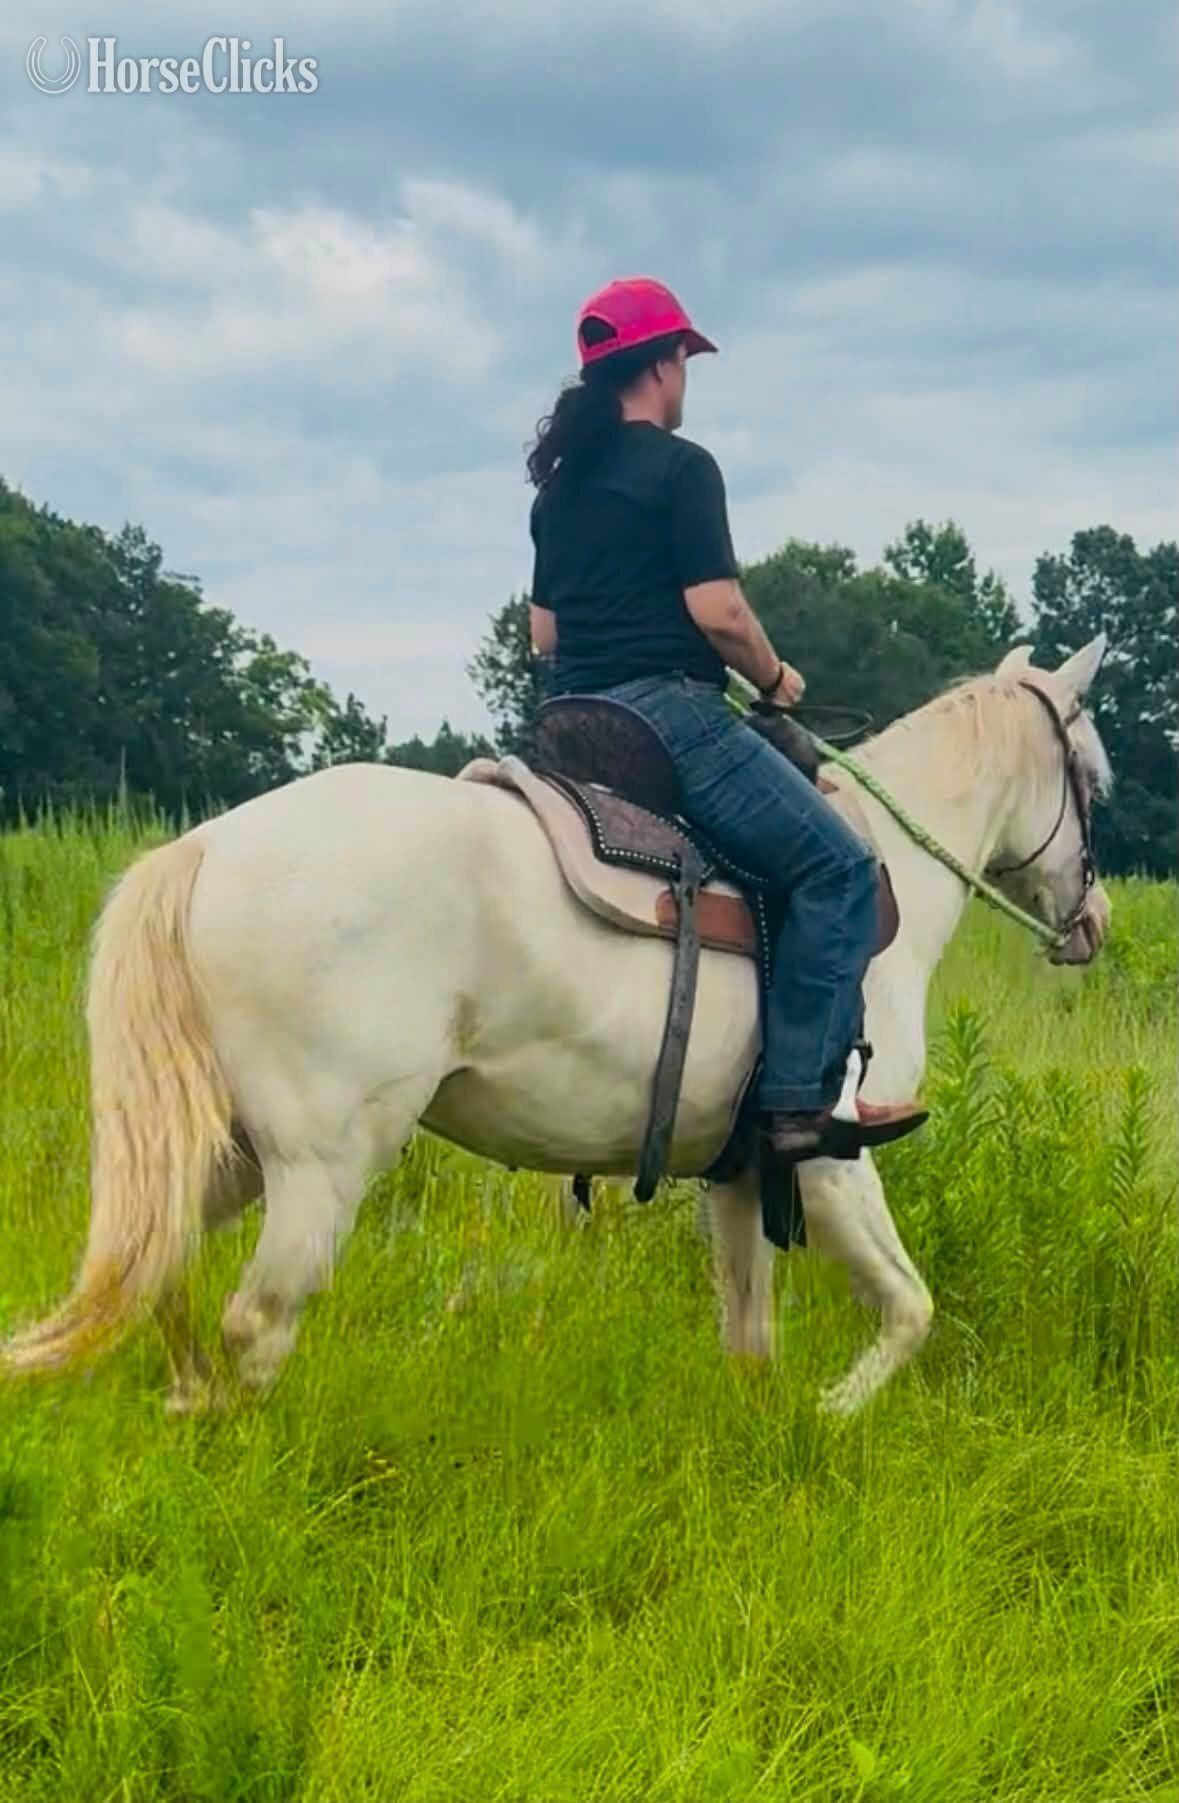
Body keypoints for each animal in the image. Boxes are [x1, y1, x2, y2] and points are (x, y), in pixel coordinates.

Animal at [0, 637, 1112, 1415]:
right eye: (1093, 780)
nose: (1094, 924)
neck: (889, 873)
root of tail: (208, 846)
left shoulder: (738, 1169)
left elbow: (748, 1340)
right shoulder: (832, 1157)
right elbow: (911, 1310)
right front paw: (835, 1414)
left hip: (228, 1153)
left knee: (165, 1282)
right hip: (322, 1165)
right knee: (258, 1322)